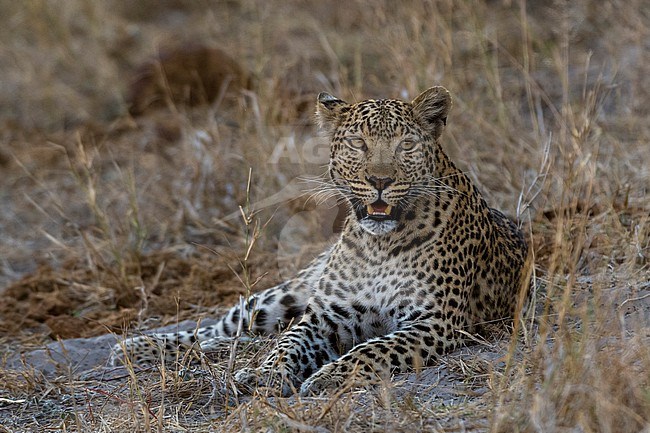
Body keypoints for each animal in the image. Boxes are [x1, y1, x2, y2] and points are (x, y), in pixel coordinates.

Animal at [109, 86, 528, 396]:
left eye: (405, 145)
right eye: (358, 143)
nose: (380, 180)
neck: (380, 246)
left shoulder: (435, 322)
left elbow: (373, 349)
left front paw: (329, 376)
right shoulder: (325, 313)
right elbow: (288, 345)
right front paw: (266, 375)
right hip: (280, 297)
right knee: (222, 327)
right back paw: (136, 348)